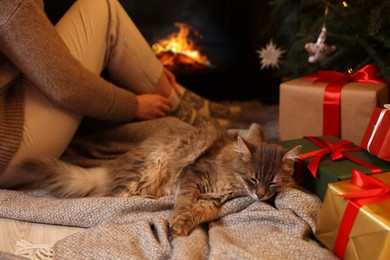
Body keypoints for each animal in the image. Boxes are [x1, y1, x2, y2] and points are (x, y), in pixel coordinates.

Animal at [19, 123, 302, 238]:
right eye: (253, 179)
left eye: (272, 183)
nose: (261, 195)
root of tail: (112, 166)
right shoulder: (193, 174)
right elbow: (185, 201)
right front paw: (176, 217)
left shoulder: (213, 199)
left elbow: (197, 212)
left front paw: (181, 225)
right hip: (148, 167)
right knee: (112, 196)